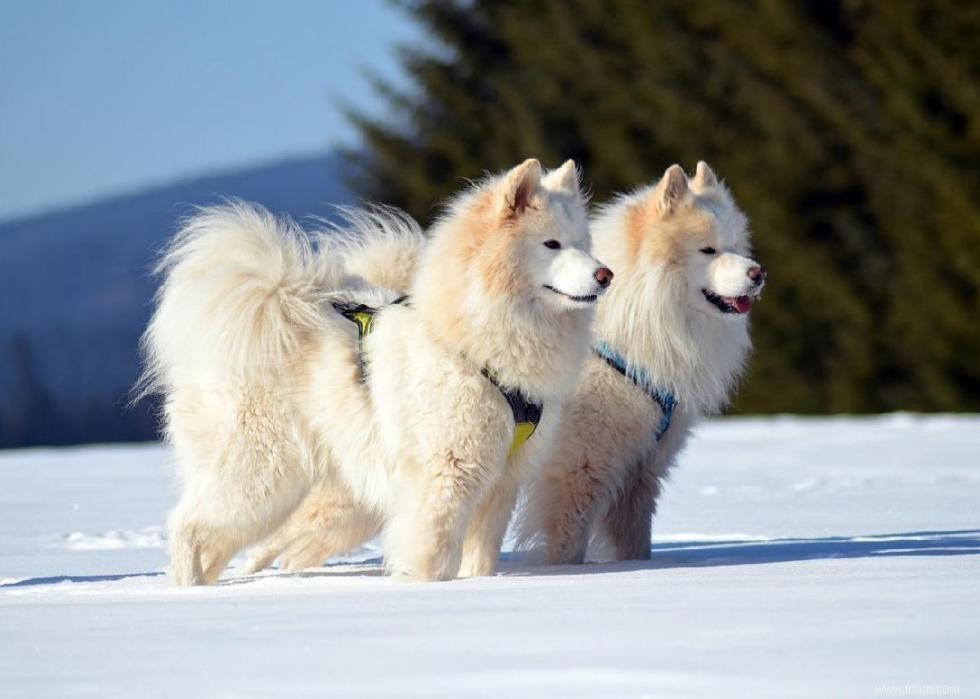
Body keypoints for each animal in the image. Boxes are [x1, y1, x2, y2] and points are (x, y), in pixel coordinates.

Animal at [516, 163, 760, 564]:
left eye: (736, 247)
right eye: (708, 250)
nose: (758, 273)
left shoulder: (642, 469)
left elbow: (635, 540)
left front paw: (636, 567)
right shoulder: (576, 467)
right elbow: (567, 540)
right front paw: (561, 571)